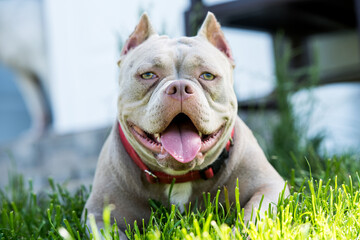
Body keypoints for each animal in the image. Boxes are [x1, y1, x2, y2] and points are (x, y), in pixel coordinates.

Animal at [83, 11, 288, 238]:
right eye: (148, 75)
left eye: (207, 75)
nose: (180, 87)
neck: (179, 178)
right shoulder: (98, 215)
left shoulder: (269, 187)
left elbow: (254, 215)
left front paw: (237, 233)